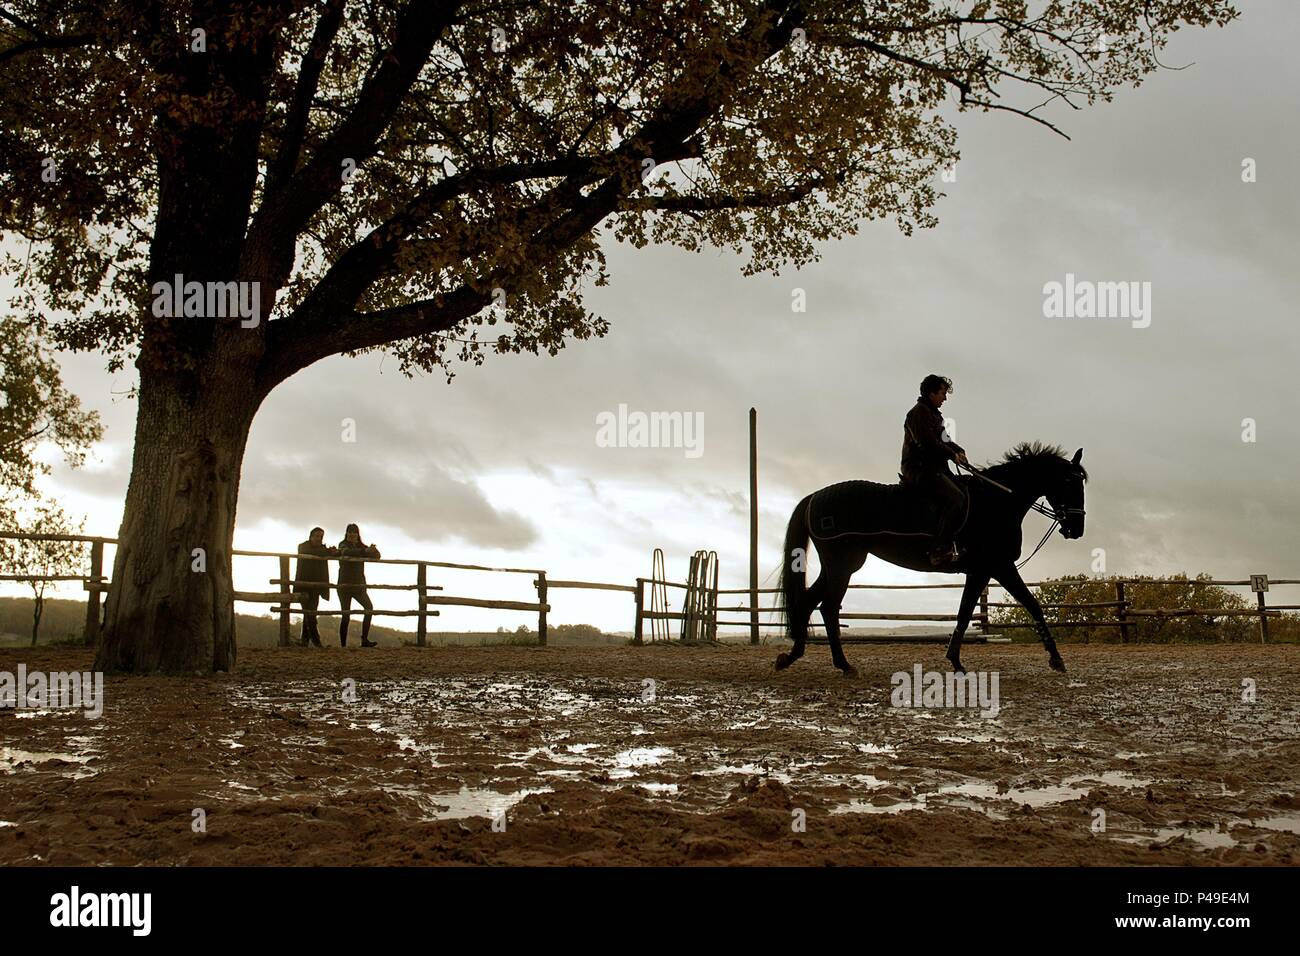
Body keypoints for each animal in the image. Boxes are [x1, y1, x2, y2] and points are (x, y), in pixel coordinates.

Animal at [774, 444, 1092, 676]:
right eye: (1068, 481)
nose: (1076, 529)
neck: (996, 503)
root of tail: (816, 496)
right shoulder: (999, 567)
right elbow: (1032, 605)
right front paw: (1057, 659)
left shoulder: (981, 572)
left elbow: (966, 612)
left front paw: (955, 660)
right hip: (842, 565)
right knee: (828, 607)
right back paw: (842, 664)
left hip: (838, 566)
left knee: (809, 602)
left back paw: (791, 657)